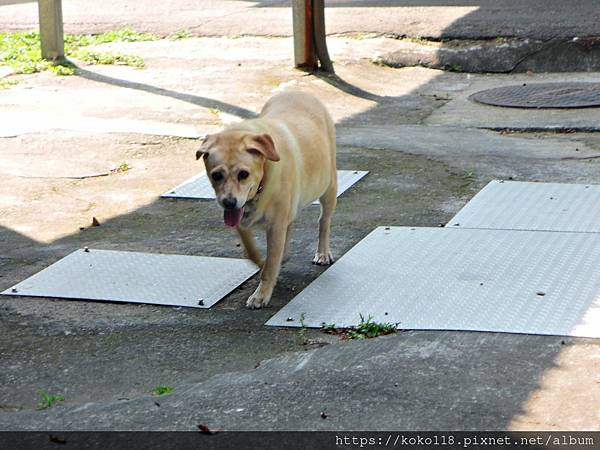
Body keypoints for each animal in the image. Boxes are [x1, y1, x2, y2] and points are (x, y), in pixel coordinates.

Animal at [197, 91, 338, 310]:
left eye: (243, 174)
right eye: (216, 175)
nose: (229, 202)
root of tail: (299, 91)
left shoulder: (275, 225)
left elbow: (271, 263)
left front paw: (261, 294)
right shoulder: (243, 220)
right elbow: (251, 251)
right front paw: (263, 263)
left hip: (328, 187)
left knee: (324, 220)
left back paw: (322, 252)